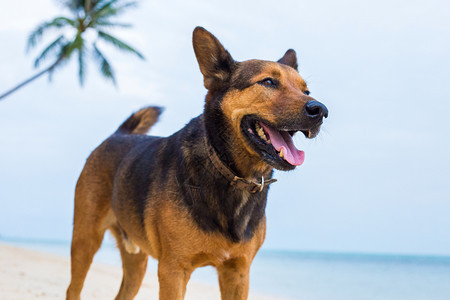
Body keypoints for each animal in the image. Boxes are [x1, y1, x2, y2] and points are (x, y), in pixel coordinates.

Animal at [66, 27, 326, 298]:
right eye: (268, 82)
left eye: (306, 91)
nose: (321, 111)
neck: (229, 172)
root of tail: (119, 134)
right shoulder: (173, 271)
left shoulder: (238, 272)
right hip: (85, 240)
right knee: (73, 288)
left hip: (136, 264)